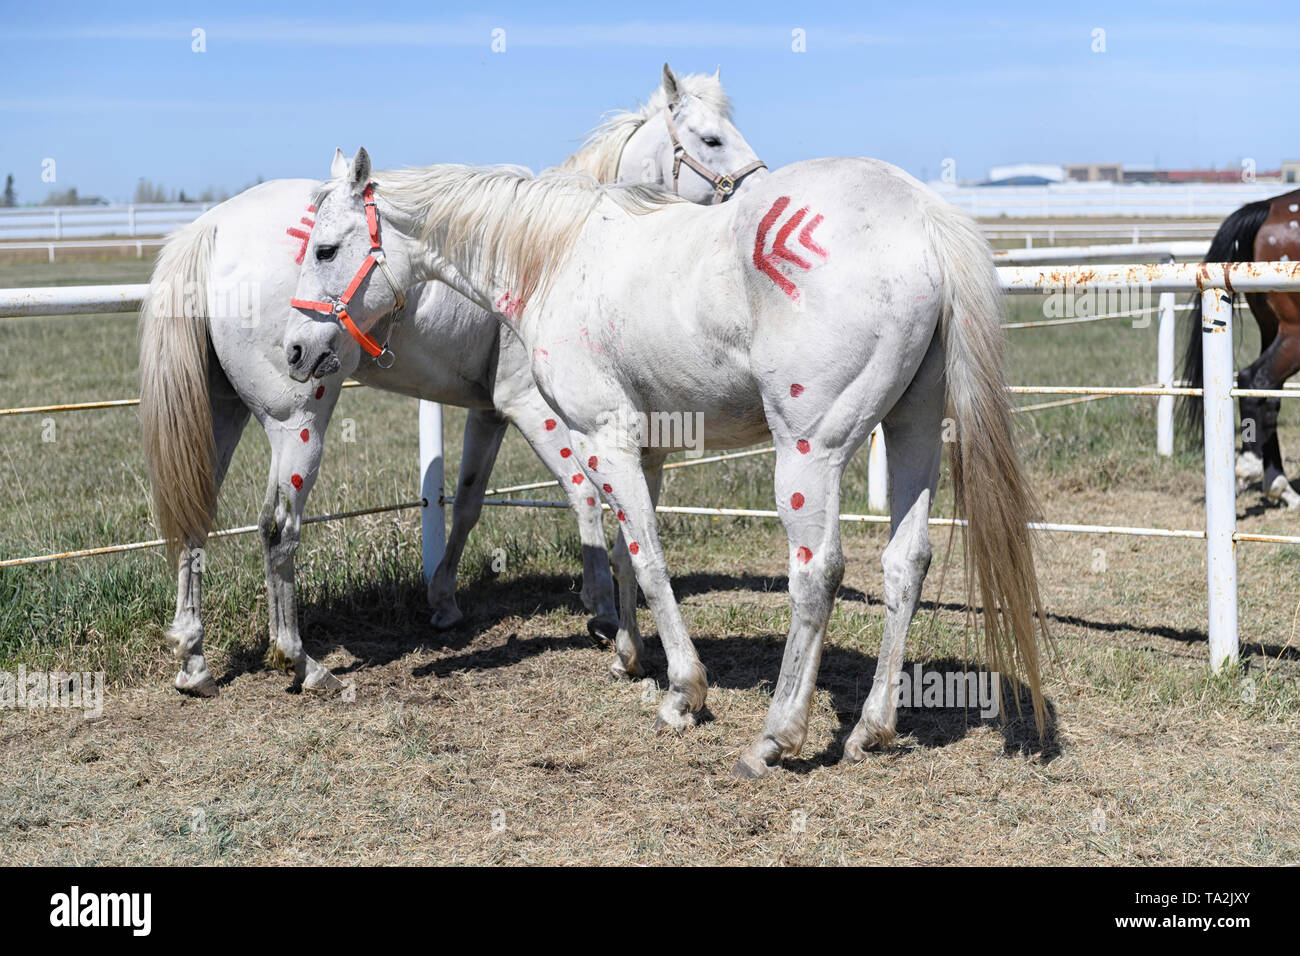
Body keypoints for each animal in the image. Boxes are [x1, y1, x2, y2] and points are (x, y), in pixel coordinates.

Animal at [138, 65, 765, 698]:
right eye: (711, 138)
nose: (757, 190)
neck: (551, 251)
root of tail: (211, 226)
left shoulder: (488, 412)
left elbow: (466, 503)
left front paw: (442, 601)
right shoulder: (528, 405)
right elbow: (583, 493)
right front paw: (603, 611)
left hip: (221, 415)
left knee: (194, 520)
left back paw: (194, 660)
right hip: (298, 421)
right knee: (276, 527)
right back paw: (301, 662)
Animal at [286, 147, 1050, 777]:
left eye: (324, 248)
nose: (294, 351)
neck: (557, 255)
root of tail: (922, 217)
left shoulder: (603, 436)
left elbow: (650, 559)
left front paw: (684, 692)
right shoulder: (643, 448)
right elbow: (629, 552)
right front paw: (629, 654)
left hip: (811, 452)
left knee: (818, 574)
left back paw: (774, 738)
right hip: (914, 428)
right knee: (905, 563)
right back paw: (871, 729)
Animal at [1180, 188, 1300, 508]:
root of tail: (1269, 207)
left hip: (1273, 329)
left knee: (1267, 393)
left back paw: (1281, 486)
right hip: (1293, 332)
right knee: (1256, 379)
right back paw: (1252, 470)